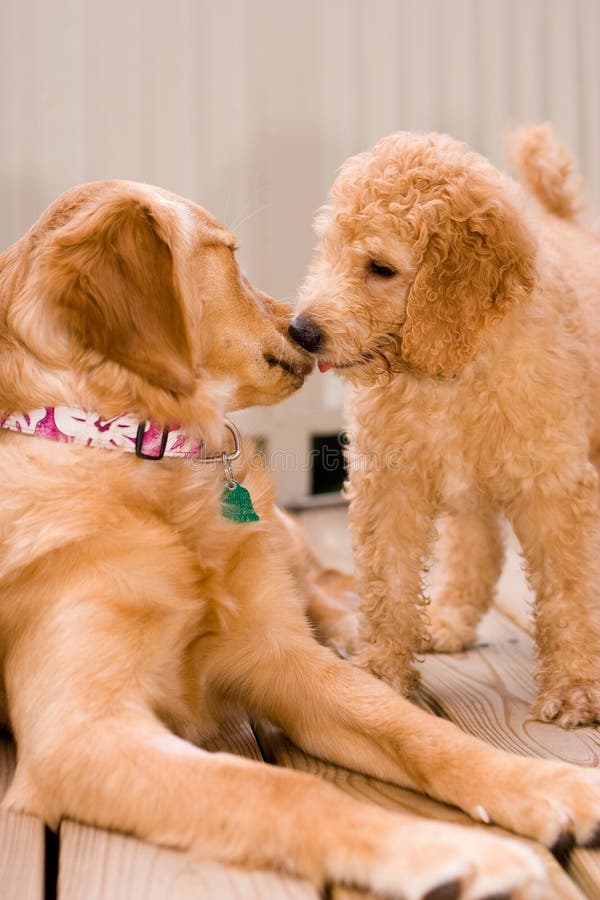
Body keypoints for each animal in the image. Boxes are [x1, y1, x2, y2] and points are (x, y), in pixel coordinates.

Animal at [292, 125, 600, 732]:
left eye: (380, 267)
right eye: (329, 248)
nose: (301, 331)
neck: (451, 370)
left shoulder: (553, 485)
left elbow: (569, 589)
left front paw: (576, 686)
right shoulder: (389, 479)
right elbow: (386, 581)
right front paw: (382, 675)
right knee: (475, 541)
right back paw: (452, 618)